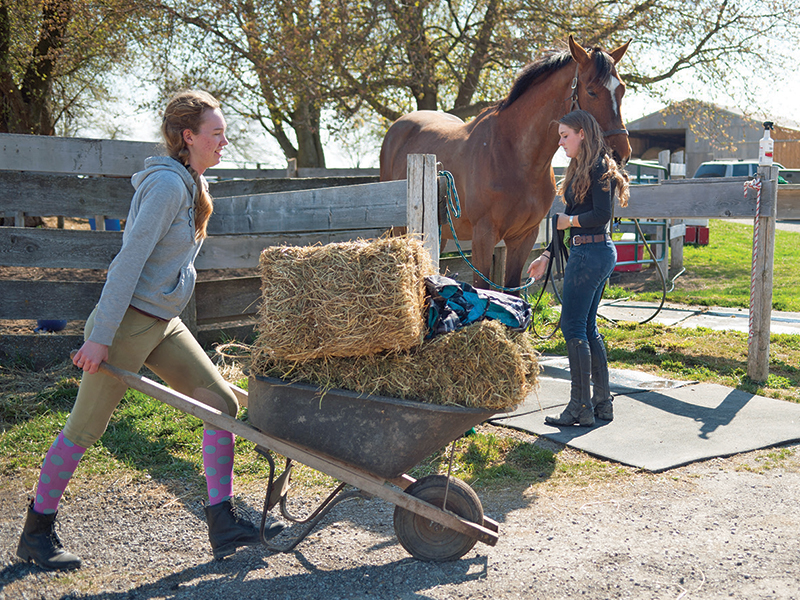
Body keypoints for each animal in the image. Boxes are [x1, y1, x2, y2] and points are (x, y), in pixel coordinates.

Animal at [379, 35, 631, 292]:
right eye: (591, 91)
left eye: (621, 89)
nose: (620, 153)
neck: (515, 156)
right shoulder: (484, 235)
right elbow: (483, 287)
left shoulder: (524, 236)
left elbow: (512, 287)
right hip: (402, 229)